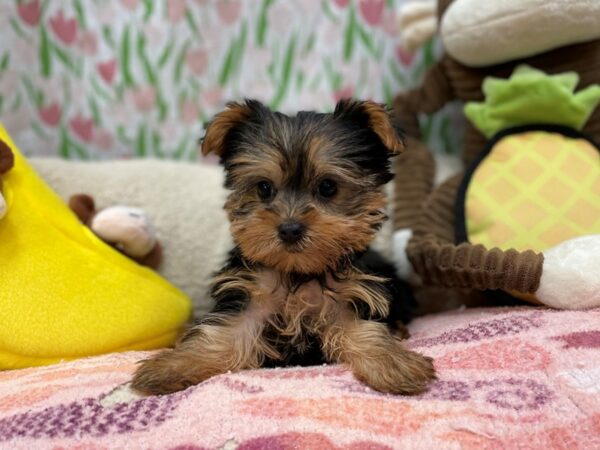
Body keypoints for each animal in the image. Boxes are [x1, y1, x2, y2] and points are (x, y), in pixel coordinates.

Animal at [131, 97, 434, 394]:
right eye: (264, 188)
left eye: (328, 187)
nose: (289, 229)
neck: (296, 273)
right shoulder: (252, 301)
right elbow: (223, 334)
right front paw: (172, 366)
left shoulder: (347, 300)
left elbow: (364, 331)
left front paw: (394, 363)